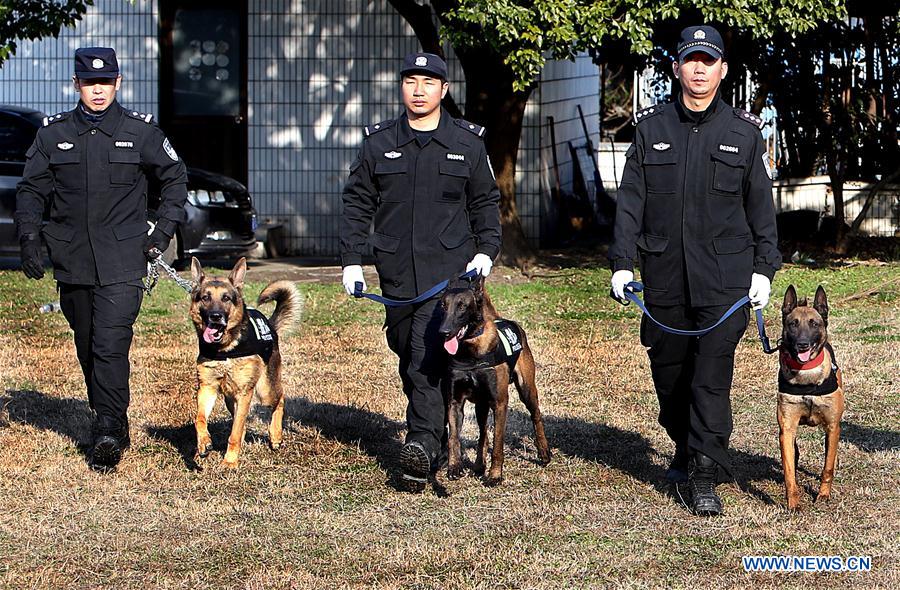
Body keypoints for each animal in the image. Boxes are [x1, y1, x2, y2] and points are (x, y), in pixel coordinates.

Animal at [190, 256, 302, 470]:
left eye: (226, 298)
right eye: (205, 298)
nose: (215, 317)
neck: (225, 350)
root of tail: (271, 326)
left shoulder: (244, 393)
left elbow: (234, 432)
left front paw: (229, 461)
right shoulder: (207, 387)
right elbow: (199, 418)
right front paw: (203, 443)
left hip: (265, 391)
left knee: (280, 400)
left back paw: (275, 435)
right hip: (229, 398)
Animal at [440, 276, 552, 486]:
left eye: (462, 306)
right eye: (443, 305)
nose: (444, 332)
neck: (470, 351)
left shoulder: (500, 403)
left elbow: (498, 443)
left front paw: (495, 475)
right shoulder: (454, 402)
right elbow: (453, 438)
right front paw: (454, 466)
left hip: (526, 390)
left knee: (536, 416)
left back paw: (543, 451)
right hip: (481, 405)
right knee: (483, 434)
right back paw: (478, 465)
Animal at [776, 284, 848, 512]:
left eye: (814, 324)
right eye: (793, 324)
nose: (802, 345)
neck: (806, 374)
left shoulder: (833, 427)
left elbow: (827, 467)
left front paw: (823, 495)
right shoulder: (787, 428)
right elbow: (789, 471)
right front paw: (793, 502)